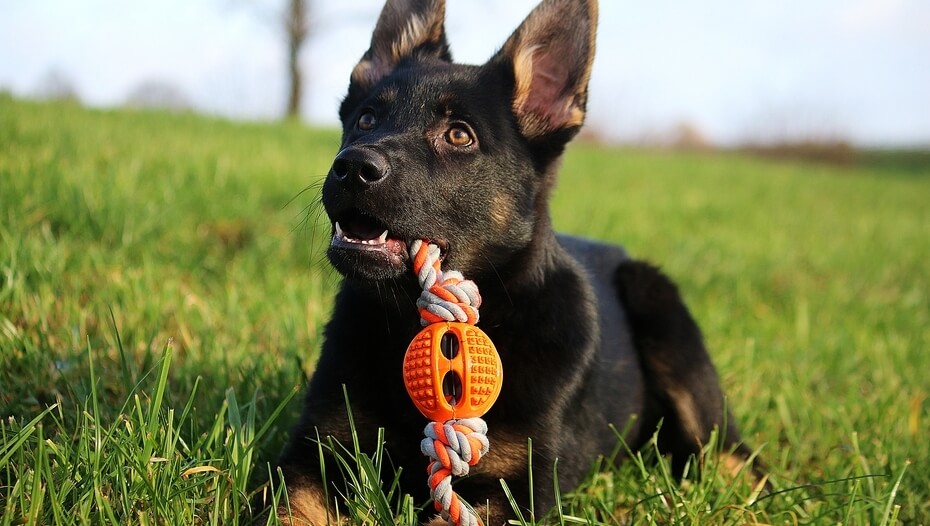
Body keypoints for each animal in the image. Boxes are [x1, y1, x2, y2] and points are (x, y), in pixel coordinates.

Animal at [272, 0, 756, 524]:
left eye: (459, 135)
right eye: (365, 119)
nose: (352, 168)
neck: (410, 321)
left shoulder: (517, 486)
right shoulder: (316, 452)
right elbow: (292, 509)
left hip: (661, 311)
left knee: (734, 454)